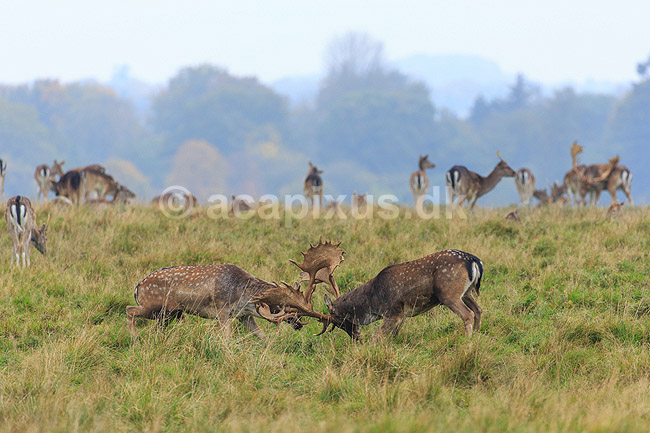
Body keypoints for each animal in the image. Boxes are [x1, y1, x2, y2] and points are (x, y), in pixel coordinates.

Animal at [124, 241, 345, 339]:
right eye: (286, 310)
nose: (299, 325)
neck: (242, 297)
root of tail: (137, 287)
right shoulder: (221, 310)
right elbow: (227, 338)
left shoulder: (244, 316)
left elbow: (261, 336)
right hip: (153, 306)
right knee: (129, 310)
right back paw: (134, 338)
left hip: (169, 314)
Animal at [252, 241, 484, 340]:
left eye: (338, 321)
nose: (356, 338)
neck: (373, 300)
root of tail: (475, 260)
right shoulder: (401, 316)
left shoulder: (393, 311)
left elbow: (379, 337)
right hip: (468, 292)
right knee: (479, 310)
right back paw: (478, 336)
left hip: (449, 293)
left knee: (467, 314)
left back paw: (467, 342)